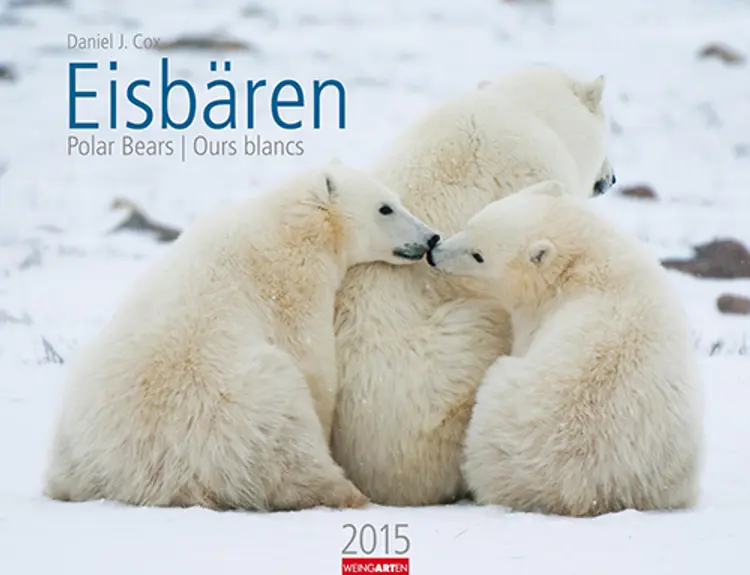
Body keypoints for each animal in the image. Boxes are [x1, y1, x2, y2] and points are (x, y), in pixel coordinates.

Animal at [43, 162, 439, 512]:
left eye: (395, 201)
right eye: (385, 207)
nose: (430, 237)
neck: (293, 225)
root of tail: (130, 476)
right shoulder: (292, 286)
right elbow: (314, 368)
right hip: (234, 415)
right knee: (284, 443)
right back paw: (346, 491)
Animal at [426, 180, 703, 516]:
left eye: (478, 255)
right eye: (470, 224)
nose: (434, 252)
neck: (582, 259)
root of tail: (580, 490)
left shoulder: (536, 315)